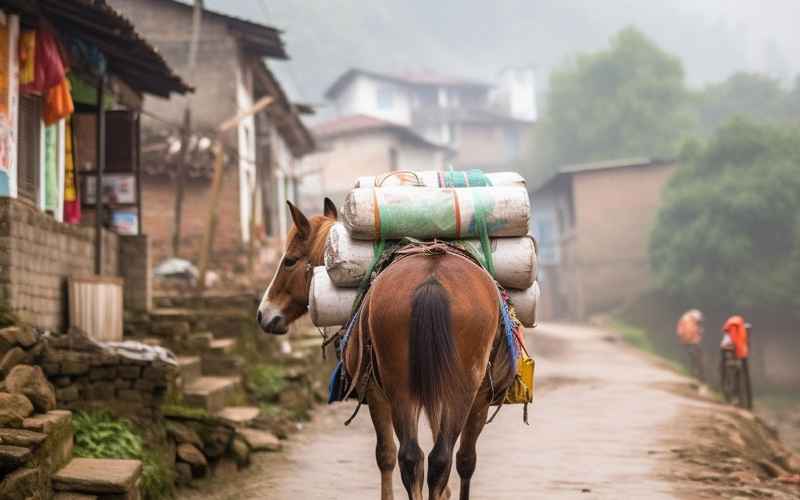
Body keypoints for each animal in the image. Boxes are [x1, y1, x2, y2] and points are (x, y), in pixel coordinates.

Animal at [257, 199, 515, 500]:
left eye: (288, 261)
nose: (263, 314)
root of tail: (432, 278)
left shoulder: (378, 390)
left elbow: (392, 455)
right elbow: (411, 455)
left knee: (425, 458)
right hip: (444, 388)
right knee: (431, 457)